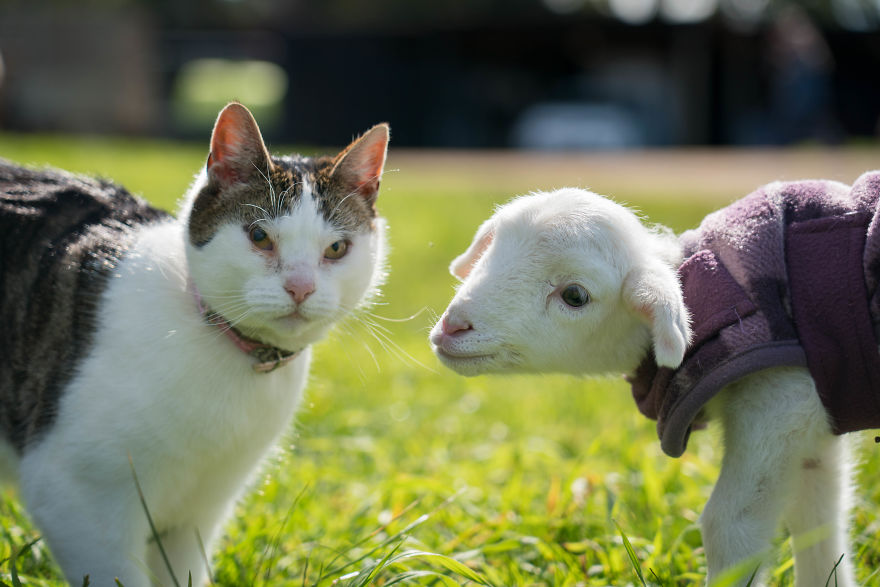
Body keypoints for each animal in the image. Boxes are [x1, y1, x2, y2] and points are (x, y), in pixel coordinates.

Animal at [429, 177, 880, 586]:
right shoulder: (814, 417)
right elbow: (819, 518)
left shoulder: (779, 400)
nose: (453, 327)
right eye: (491, 251)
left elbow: (729, 526)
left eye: (574, 296)